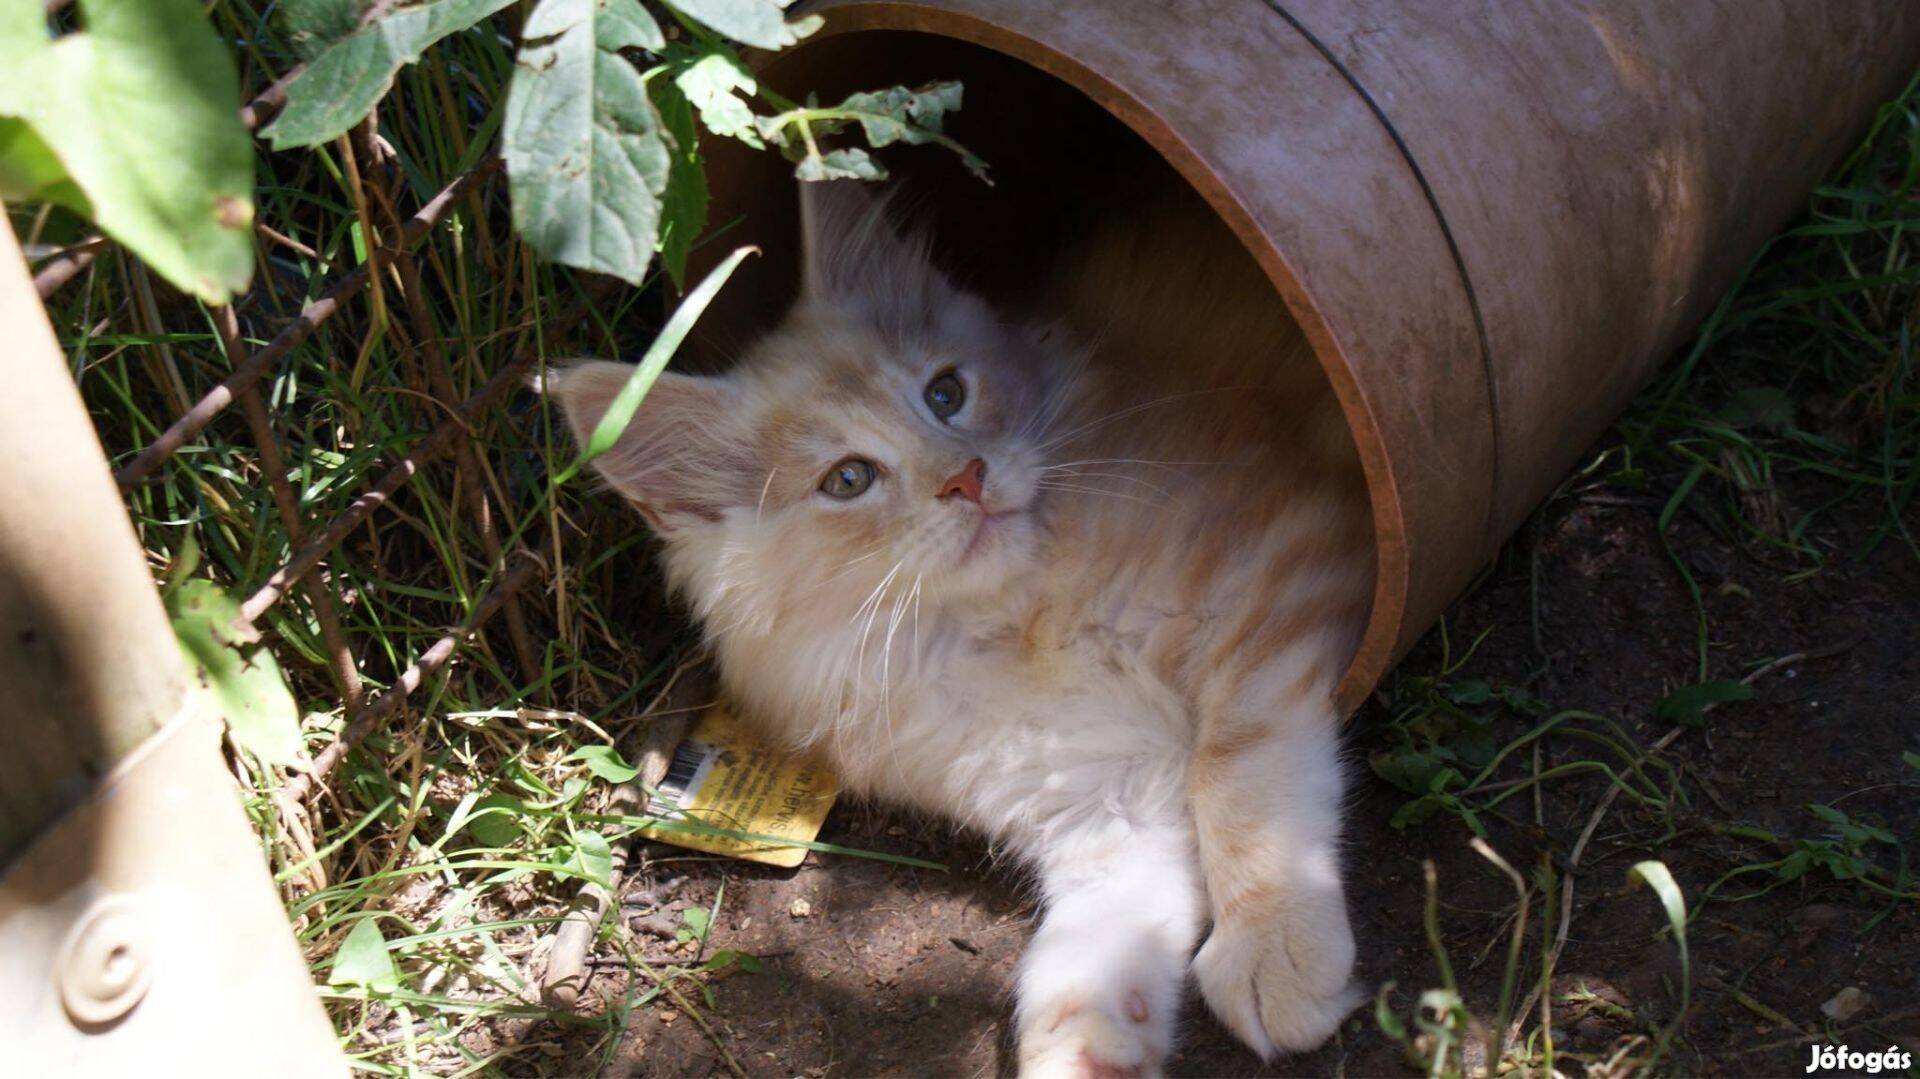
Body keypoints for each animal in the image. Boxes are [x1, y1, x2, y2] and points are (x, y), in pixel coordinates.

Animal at [549, 180, 1374, 1067]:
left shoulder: (1276, 566)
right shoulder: (1108, 818)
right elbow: (1076, 978)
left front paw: (1273, 945)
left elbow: (1238, 772)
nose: (967, 477)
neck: (1004, 623)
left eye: (946, 393)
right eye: (848, 479)